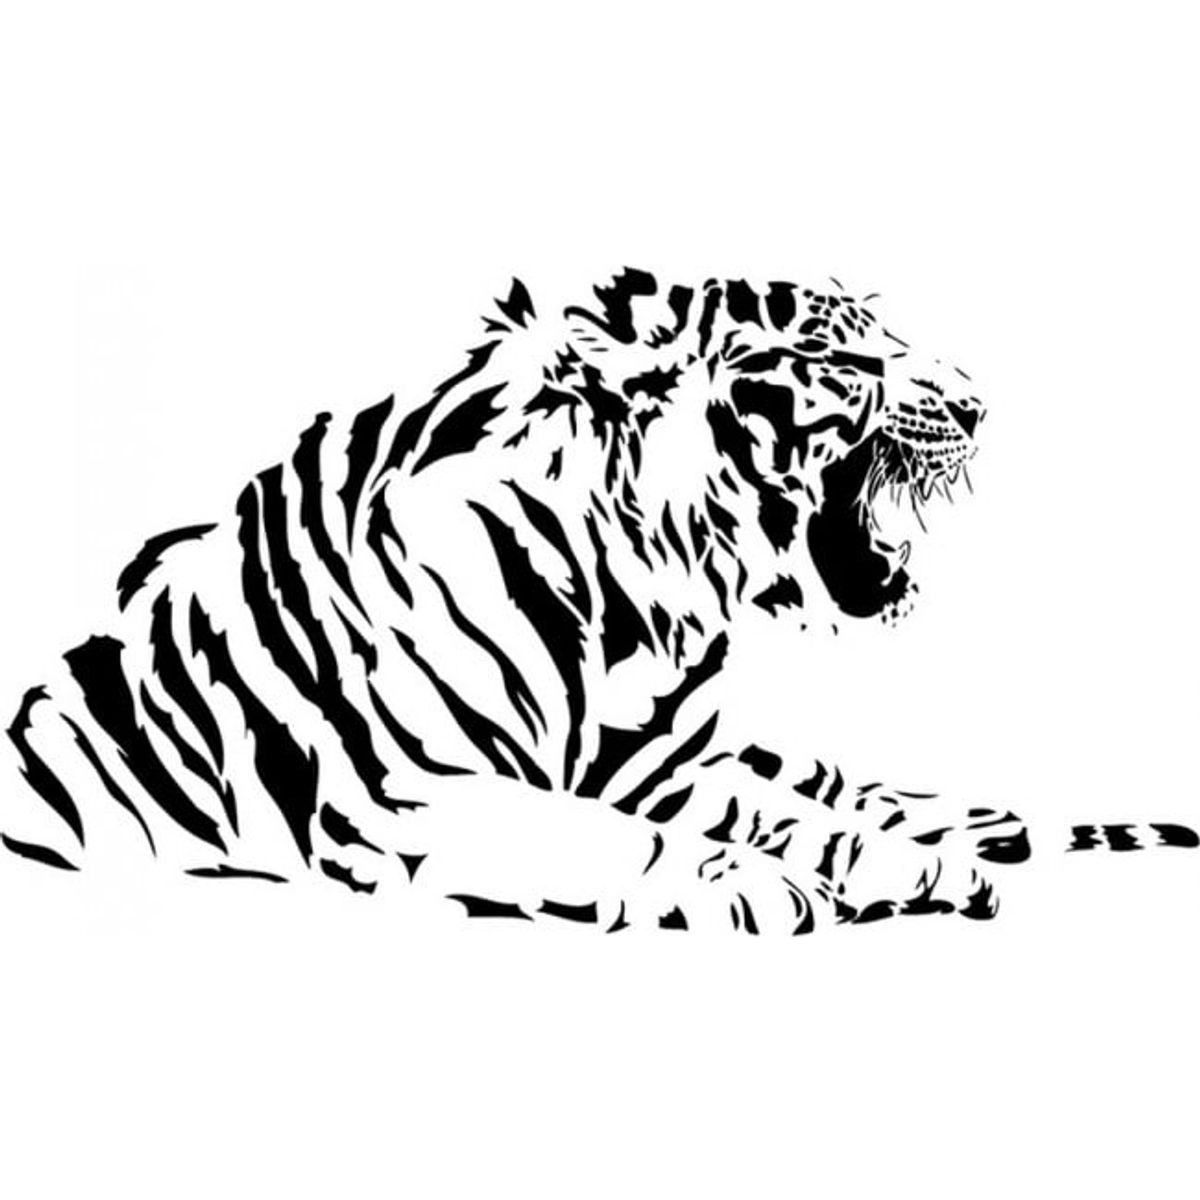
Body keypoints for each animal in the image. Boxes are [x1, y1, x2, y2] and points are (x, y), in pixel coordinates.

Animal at [5, 268, 1194, 933]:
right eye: (839, 356)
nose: (979, 405)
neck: (640, 599)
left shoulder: (656, 767)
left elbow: (803, 816)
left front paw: (918, 870)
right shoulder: (415, 795)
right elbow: (619, 838)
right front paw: (767, 890)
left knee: (829, 777)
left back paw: (987, 827)